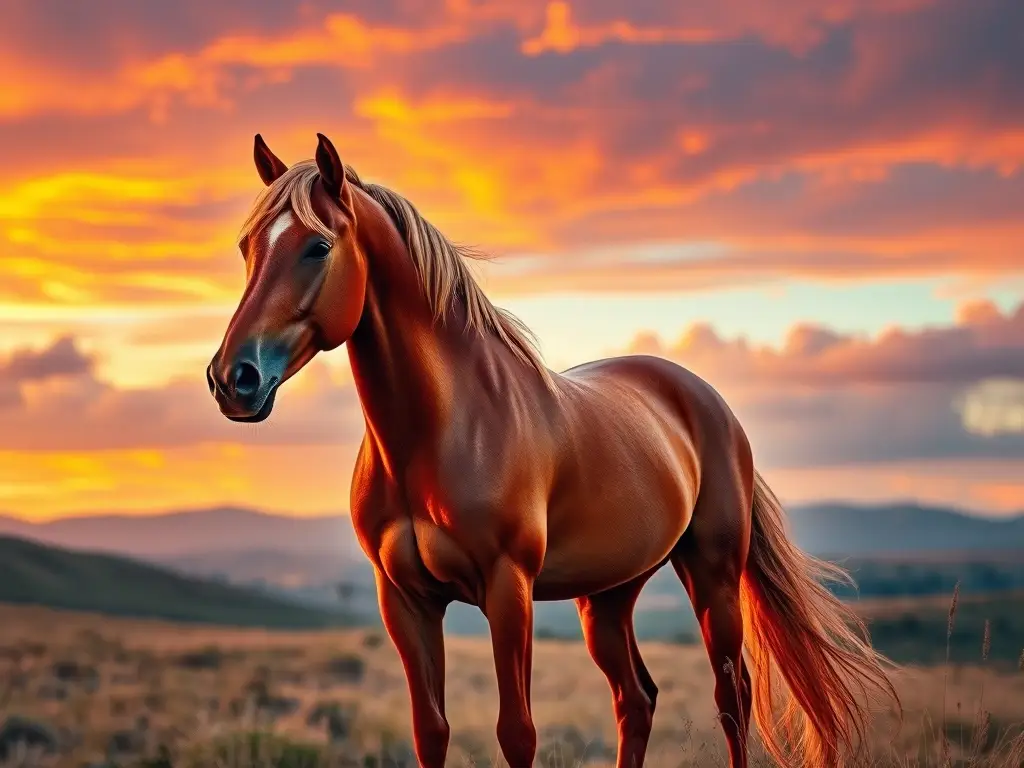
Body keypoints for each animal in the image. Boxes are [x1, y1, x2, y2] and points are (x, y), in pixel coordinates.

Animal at [207, 133, 900, 768]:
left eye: (318, 246)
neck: (444, 432)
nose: (232, 378)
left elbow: (517, 733)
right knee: (636, 700)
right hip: (610, 596)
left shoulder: (507, 590)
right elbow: (431, 732)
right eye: (247, 248)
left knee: (733, 701)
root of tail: (708, 402)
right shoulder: (403, 600)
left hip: (714, 577)